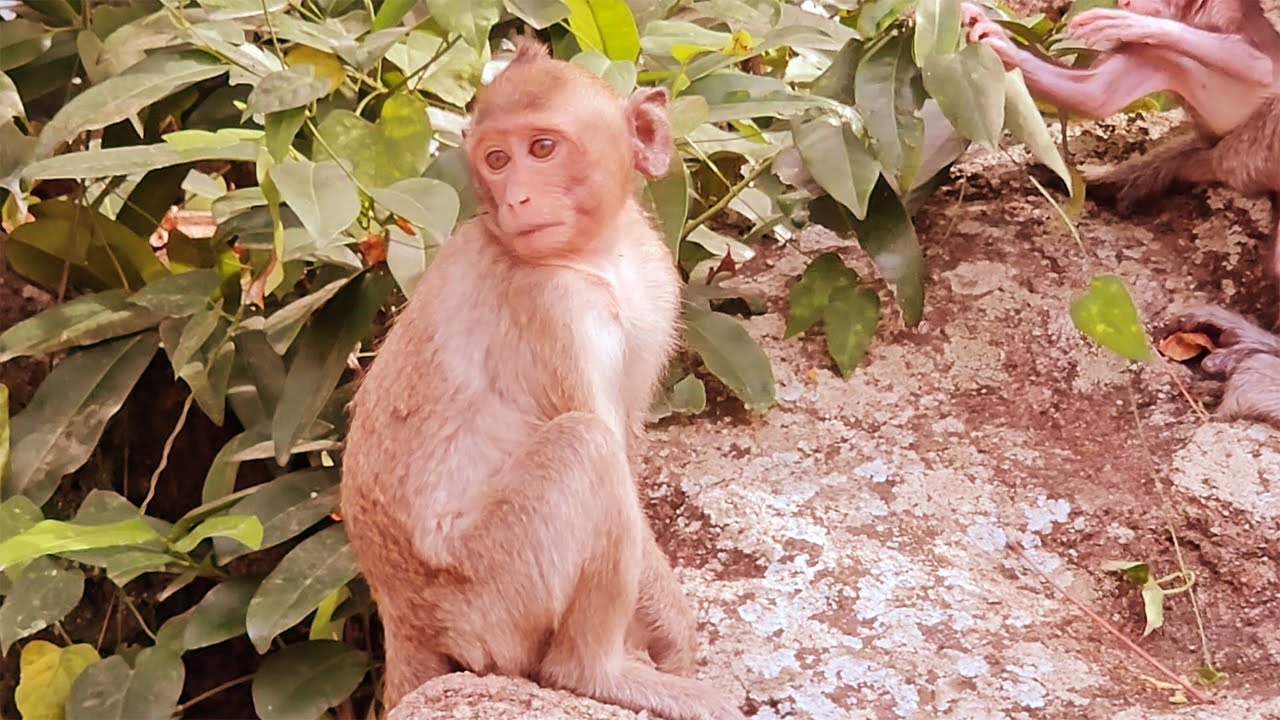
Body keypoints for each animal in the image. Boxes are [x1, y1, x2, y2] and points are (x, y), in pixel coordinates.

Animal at [339, 38, 744, 720]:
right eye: (497, 160)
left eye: (543, 149)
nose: (516, 200)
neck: (598, 254)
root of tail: (400, 615)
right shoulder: (552, 305)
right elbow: (608, 445)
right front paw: (674, 637)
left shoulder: (657, 281)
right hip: (490, 591)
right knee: (585, 447)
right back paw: (593, 672)